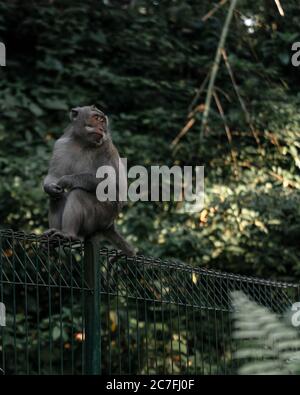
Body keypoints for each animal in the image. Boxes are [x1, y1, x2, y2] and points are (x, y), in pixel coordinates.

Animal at [42, 105, 135, 258]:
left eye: (103, 121)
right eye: (96, 118)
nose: (102, 128)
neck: (82, 143)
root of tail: (110, 224)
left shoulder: (106, 147)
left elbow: (110, 185)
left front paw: (66, 180)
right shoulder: (61, 145)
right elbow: (54, 176)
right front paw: (50, 187)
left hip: (102, 216)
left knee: (78, 193)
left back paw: (68, 234)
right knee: (56, 197)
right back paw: (55, 236)